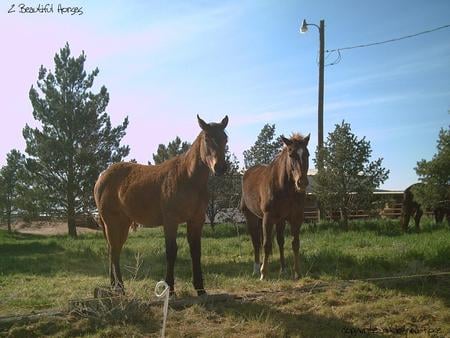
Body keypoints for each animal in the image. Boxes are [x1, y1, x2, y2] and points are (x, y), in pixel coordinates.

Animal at [94, 115, 229, 294]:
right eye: (207, 138)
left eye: (225, 138)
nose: (220, 167)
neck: (188, 178)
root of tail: (101, 177)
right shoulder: (170, 221)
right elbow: (171, 251)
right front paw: (170, 288)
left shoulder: (196, 220)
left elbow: (196, 251)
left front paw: (200, 288)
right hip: (112, 222)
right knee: (114, 251)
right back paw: (120, 287)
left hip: (123, 223)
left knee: (112, 250)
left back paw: (113, 285)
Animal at [241, 133, 312, 280]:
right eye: (291, 154)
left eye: (307, 154)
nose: (302, 183)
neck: (284, 188)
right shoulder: (268, 218)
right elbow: (266, 244)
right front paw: (263, 273)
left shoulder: (296, 218)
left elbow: (295, 244)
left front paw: (297, 272)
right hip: (251, 217)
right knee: (256, 242)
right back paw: (256, 269)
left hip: (279, 220)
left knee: (280, 241)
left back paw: (283, 269)